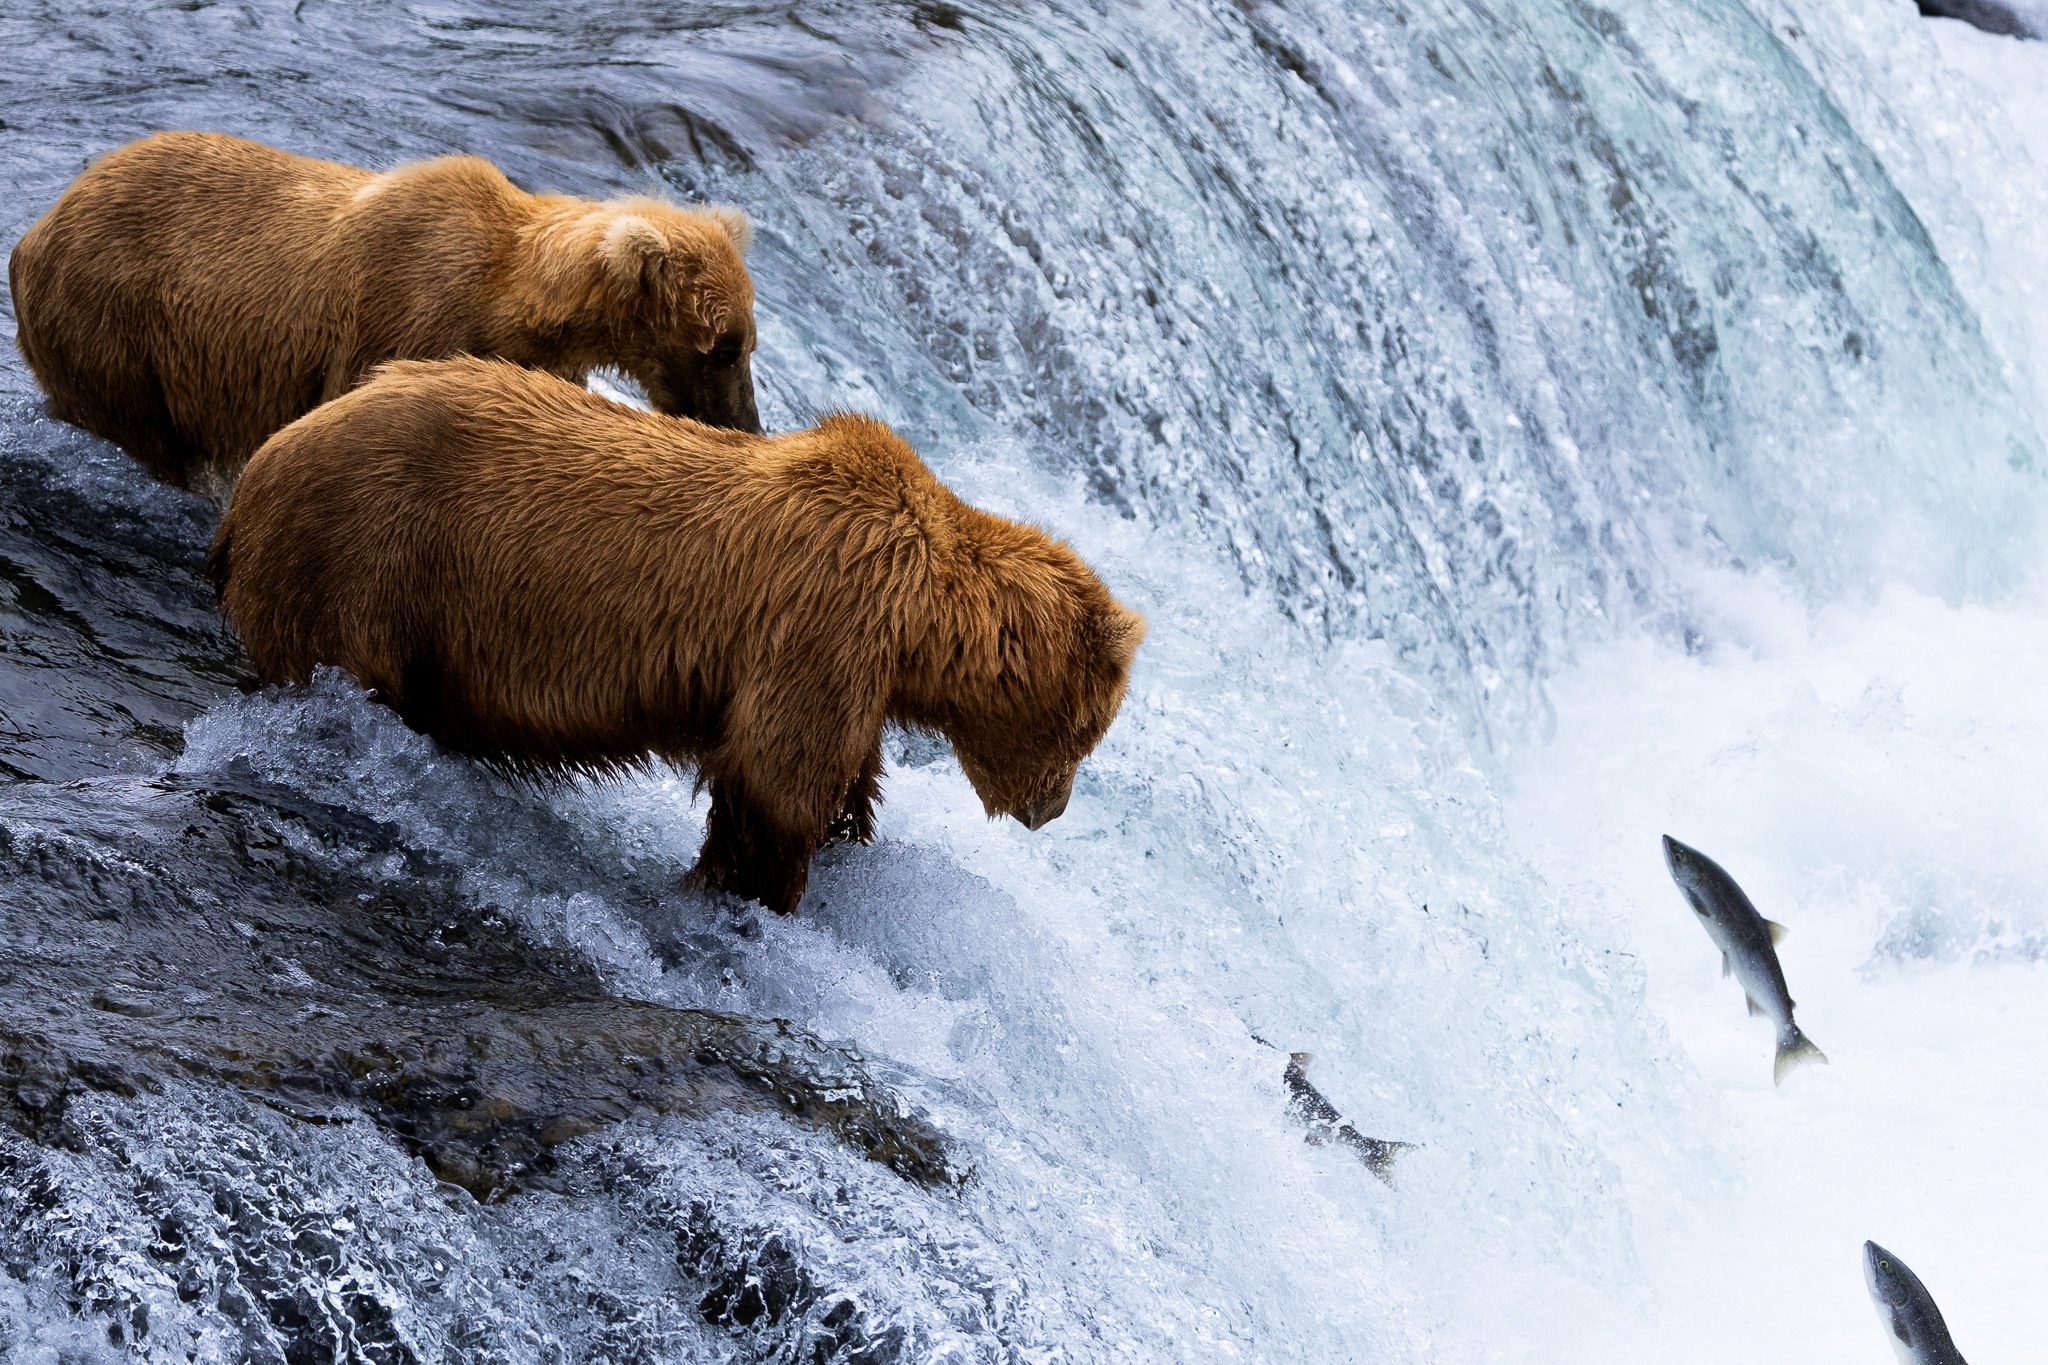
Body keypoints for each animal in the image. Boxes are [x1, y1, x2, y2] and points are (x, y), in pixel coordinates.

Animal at [8, 130, 760, 488]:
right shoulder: (402, 314)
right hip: (111, 323)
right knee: (138, 428)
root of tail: (36, 227)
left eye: (746, 342)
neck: (509, 301)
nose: (747, 423)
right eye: (723, 346)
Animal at [208, 356, 1145, 915]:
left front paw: (843, 839)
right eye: (1086, 731)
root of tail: (256, 472)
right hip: (365, 562)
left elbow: (840, 775)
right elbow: (774, 784)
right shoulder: (823, 625)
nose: (1053, 806)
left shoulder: (856, 670)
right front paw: (753, 889)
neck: (922, 620)